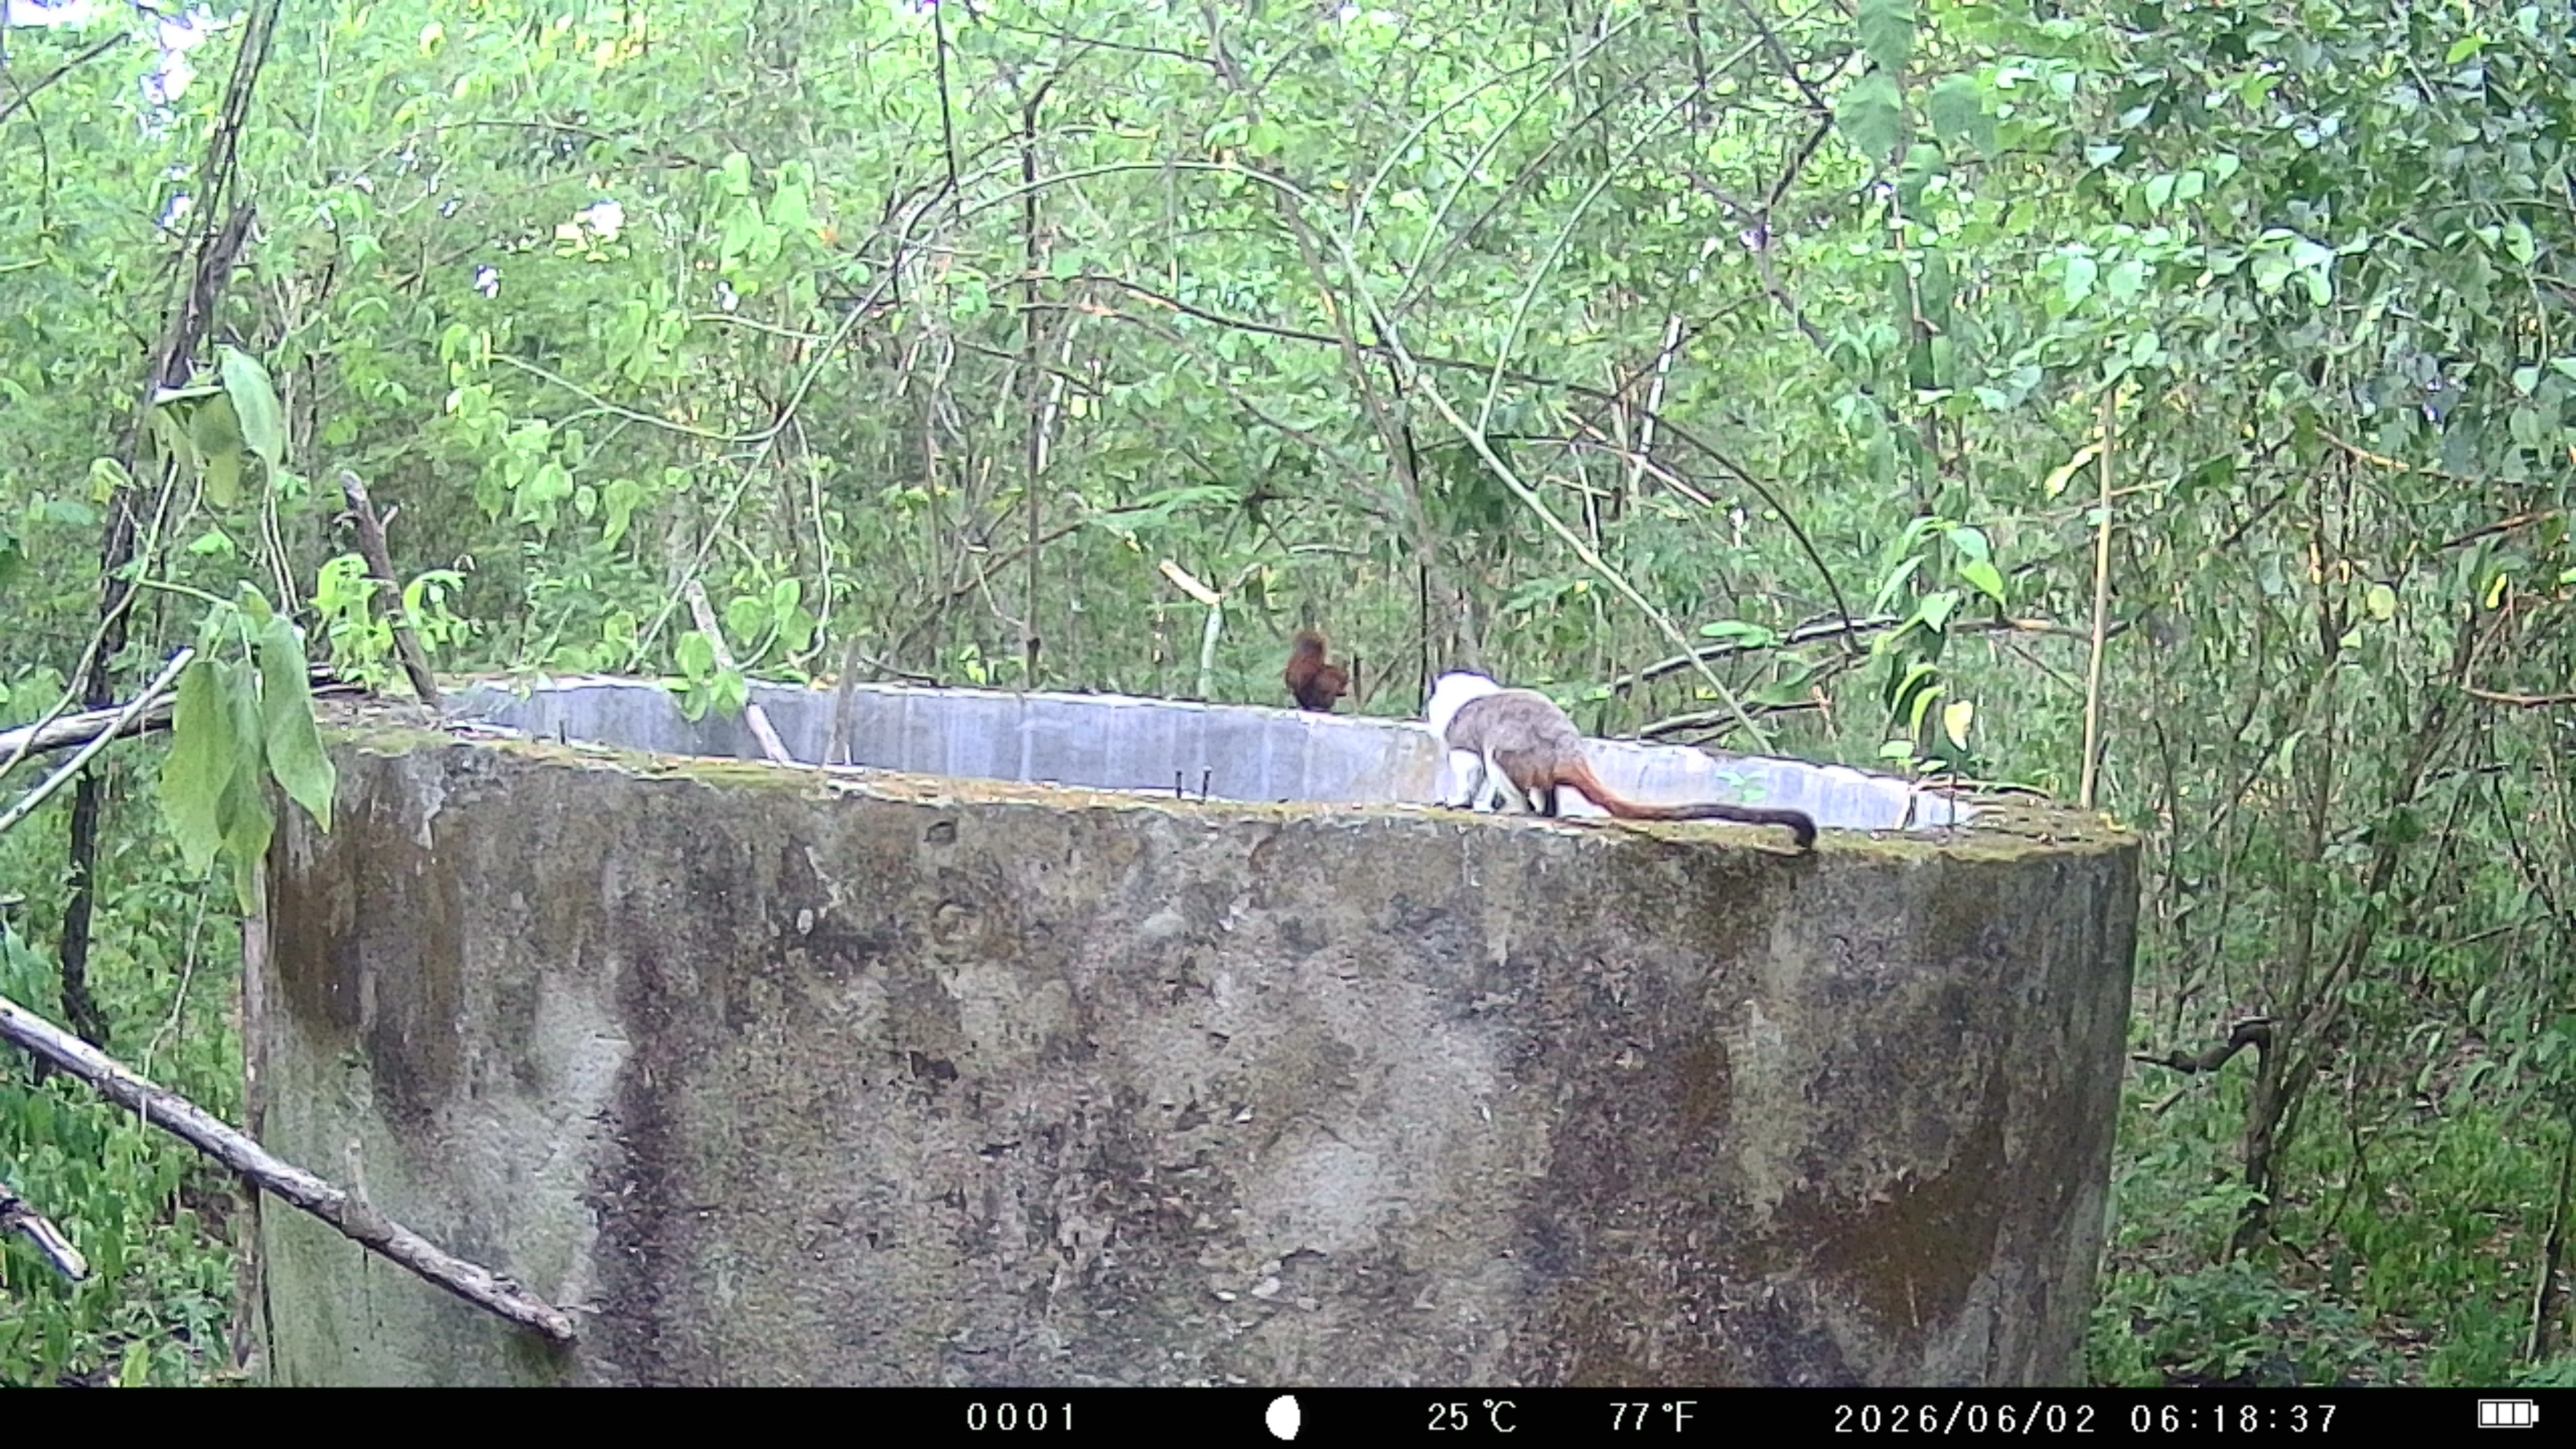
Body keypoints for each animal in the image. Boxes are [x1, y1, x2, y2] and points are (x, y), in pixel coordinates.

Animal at [1422, 672, 1817, 851]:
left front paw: (1462, 802)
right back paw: (1543, 810)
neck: (1468, 701)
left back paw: (1522, 810)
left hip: (1525, 752)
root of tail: (1568, 749)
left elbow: (1472, 764)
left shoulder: (1461, 732)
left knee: (1498, 755)